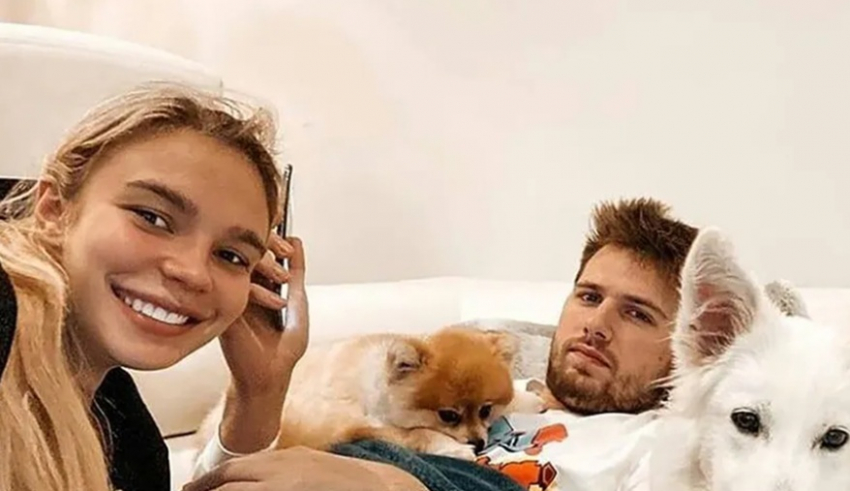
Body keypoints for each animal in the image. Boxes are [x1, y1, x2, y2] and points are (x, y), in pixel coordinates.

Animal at [198, 325, 543, 460]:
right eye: (448, 416)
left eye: (485, 410)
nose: (480, 441)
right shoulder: (354, 422)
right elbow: (414, 434)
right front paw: (452, 447)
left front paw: (531, 399)